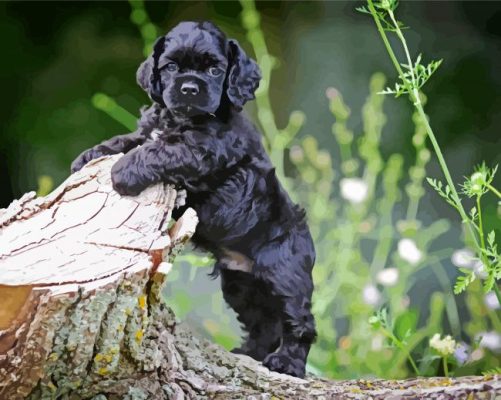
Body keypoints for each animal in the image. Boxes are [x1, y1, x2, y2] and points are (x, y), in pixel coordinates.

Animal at [72, 21, 314, 378]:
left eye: (215, 70)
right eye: (171, 67)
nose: (188, 89)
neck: (180, 117)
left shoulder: (201, 149)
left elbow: (160, 150)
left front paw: (123, 172)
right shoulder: (149, 129)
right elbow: (130, 139)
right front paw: (89, 157)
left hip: (284, 273)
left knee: (299, 321)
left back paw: (287, 364)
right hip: (242, 286)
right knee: (264, 323)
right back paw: (251, 354)